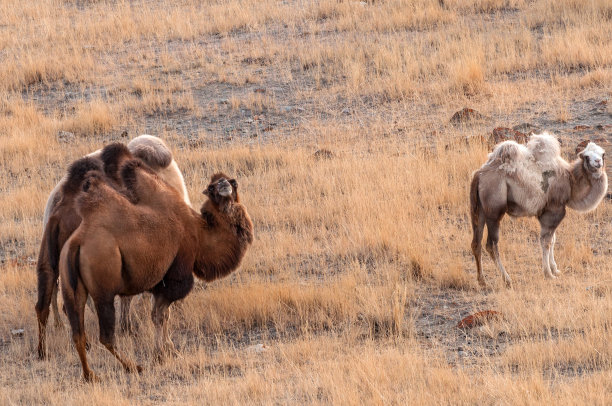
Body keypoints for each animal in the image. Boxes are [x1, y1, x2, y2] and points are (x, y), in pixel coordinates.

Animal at [58, 158, 253, 380]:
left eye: (233, 182)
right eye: (211, 188)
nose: (223, 185)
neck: (199, 233)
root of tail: (78, 242)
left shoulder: (160, 282)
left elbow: (161, 315)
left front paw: (168, 350)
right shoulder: (174, 277)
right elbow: (159, 316)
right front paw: (162, 353)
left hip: (71, 287)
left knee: (78, 333)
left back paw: (90, 375)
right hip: (103, 290)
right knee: (106, 336)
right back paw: (132, 366)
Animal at [468, 132, 608, 288]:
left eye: (602, 154)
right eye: (586, 156)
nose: (598, 163)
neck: (571, 182)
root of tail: (478, 175)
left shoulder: (547, 213)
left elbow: (553, 239)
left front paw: (555, 269)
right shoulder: (553, 211)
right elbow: (546, 242)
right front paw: (549, 274)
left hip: (478, 210)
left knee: (476, 243)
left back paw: (482, 281)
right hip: (494, 212)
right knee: (491, 245)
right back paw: (507, 279)